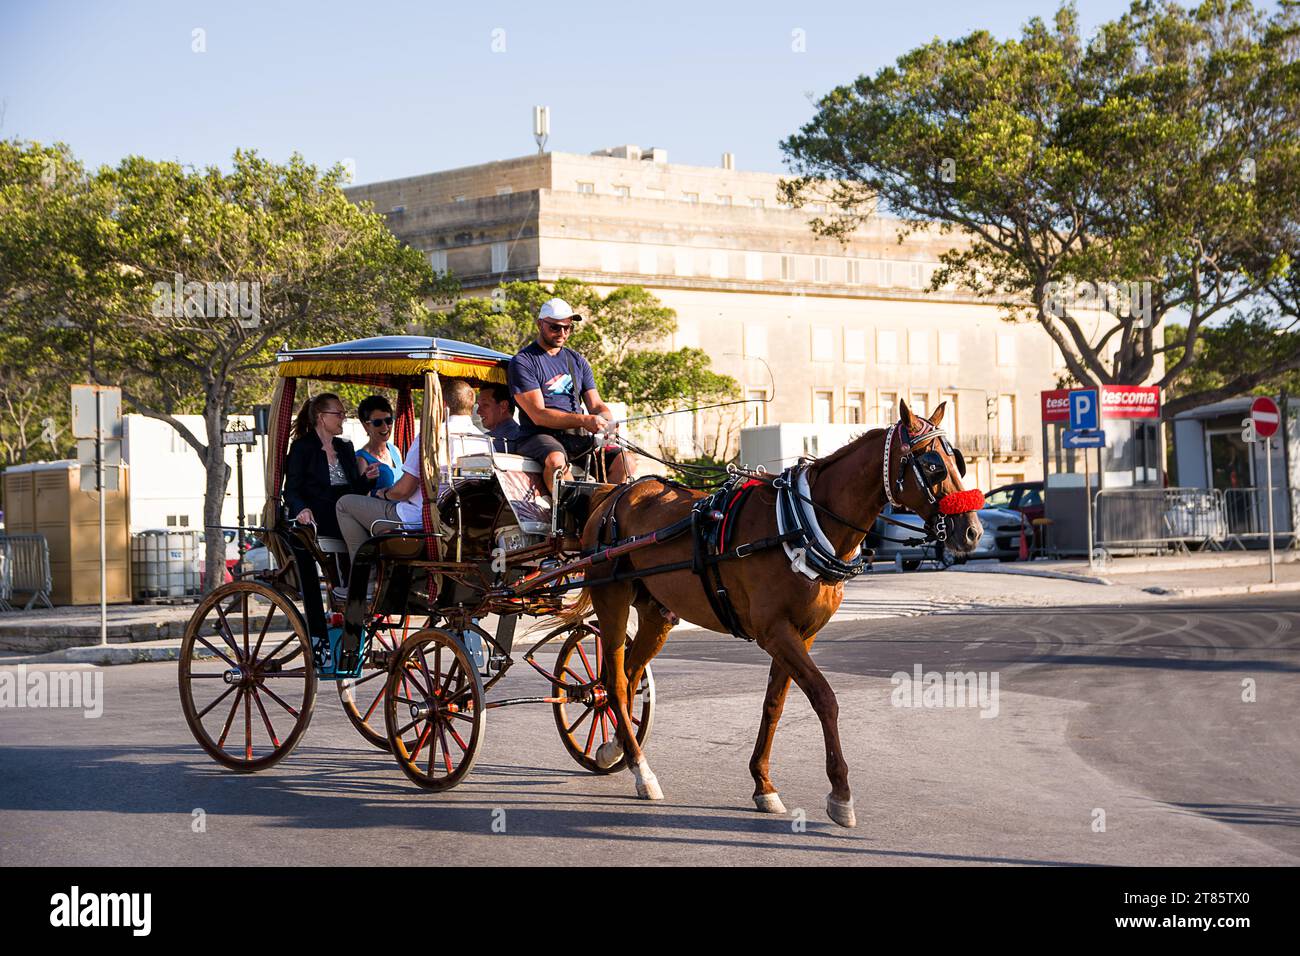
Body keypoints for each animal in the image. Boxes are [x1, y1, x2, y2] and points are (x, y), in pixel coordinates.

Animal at [561, 400, 982, 827]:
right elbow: (825, 698)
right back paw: (642, 770)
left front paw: (763, 785)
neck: (800, 525)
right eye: (932, 464)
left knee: (629, 677)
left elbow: (774, 704)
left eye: (957, 461)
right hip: (612, 599)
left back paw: (616, 749)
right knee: (613, 682)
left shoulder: (801, 633)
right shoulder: (775, 631)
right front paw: (840, 793)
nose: (971, 531)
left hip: (657, 614)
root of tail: (613, 495)